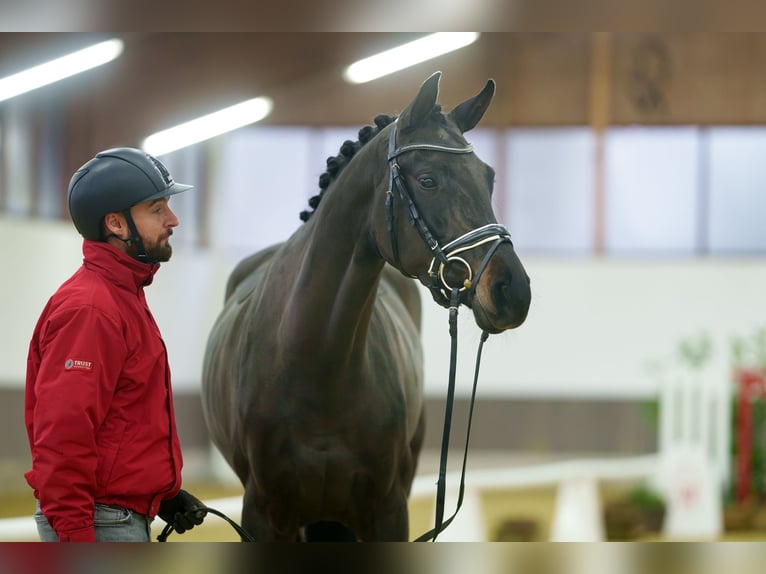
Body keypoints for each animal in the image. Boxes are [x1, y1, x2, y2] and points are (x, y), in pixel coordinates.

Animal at [201, 70, 532, 544]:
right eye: (428, 180)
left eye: (488, 178)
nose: (512, 290)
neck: (314, 362)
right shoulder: (264, 515)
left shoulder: (388, 511)